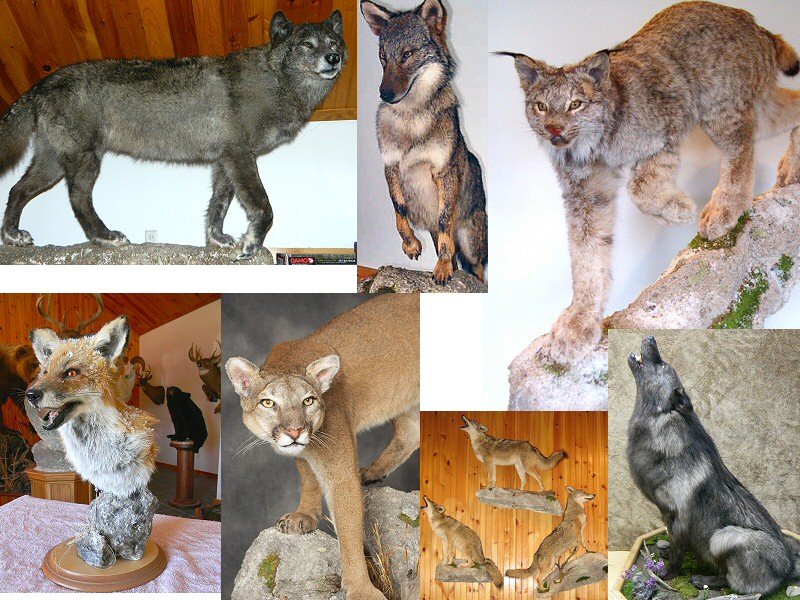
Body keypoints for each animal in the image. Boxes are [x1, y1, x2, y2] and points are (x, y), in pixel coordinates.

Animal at [0, 10, 346, 261]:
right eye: (306, 44)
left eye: (333, 44)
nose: (334, 59)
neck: (274, 81)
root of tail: (41, 83)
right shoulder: (240, 155)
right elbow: (264, 208)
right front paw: (249, 245)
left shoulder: (225, 161)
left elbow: (218, 206)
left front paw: (217, 241)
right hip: (85, 160)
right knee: (77, 198)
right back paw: (105, 237)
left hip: (52, 165)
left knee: (16, 190)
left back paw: (12, 236)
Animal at [360, 0, 487, 284]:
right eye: (383, 57)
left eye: (407, 54)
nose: (385, 94)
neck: (411, 116)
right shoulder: (391, 167)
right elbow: (399, 211)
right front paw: (410, 245)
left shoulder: (443, 172)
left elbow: (443, 221)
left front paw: (441, 269)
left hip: (472, 246)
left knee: (478, 270)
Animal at [501, 2, 800, 361]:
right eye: (541, 106)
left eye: (576, 104)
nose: (554, 130)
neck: (594, 145)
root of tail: (750, 19)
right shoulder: (585, 193)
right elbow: (586, 253)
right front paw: (580, 321)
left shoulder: (667, 128)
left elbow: (641, 188)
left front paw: (679, 211)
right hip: (753, 105)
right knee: (789, 106)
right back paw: (792, 165)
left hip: (718, 106)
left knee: (740, 147)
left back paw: (725, 207)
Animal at [627, 336, 800, 594]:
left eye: (662, 364)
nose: (651, 338)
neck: (661, 423)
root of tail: (788, 566)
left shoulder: (677, 519)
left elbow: (677, 555)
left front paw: (666, 575)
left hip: (724, 537)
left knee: (732, 582)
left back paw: (703, 580)